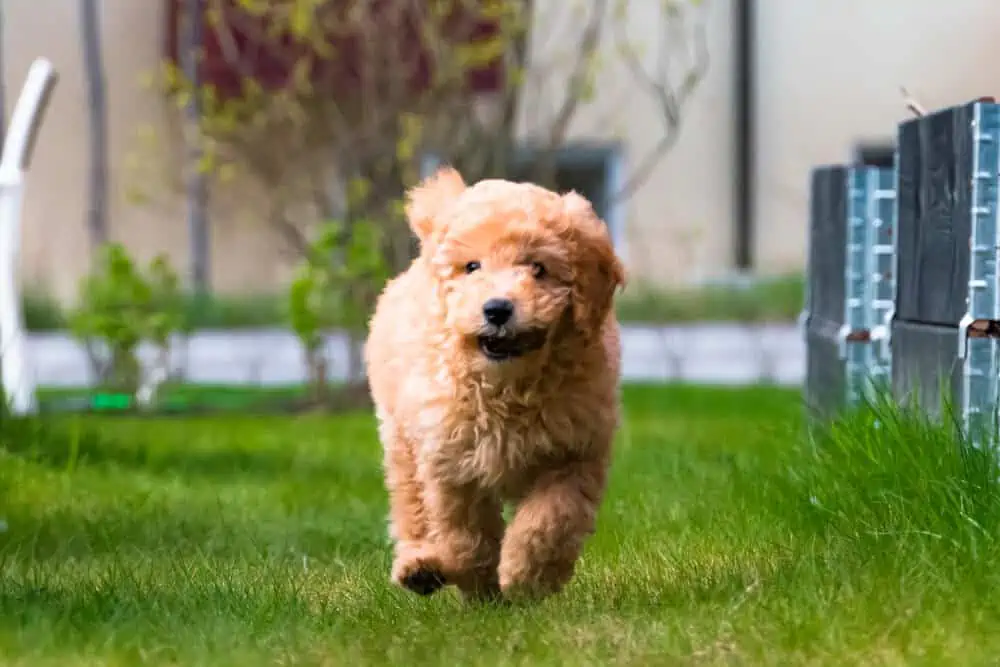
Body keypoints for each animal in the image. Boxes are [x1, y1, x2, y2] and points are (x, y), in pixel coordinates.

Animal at [364, 166, 628, 600]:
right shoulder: (452, 460)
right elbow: (466, 532)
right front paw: (479, 588)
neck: (508, 387)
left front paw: (527, 578)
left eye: (538, 268)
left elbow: (551, 519)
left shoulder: (574, 452)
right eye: (472, 267)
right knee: (411, 501)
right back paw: (420, 564)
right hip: (401, 434)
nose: (497, 309)